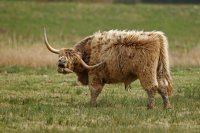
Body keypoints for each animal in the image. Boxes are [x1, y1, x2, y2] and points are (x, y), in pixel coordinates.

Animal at [44, 28, 173, 109]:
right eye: (60, 55)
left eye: (71, 58)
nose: (61, 62)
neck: (89, 51)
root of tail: (157, 36)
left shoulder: (94, 76)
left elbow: (94, 90)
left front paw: (92, 105)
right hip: (159, 71)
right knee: (162, 87)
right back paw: (166, 107)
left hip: (146, 72)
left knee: (152, 87)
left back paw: (150, 107)